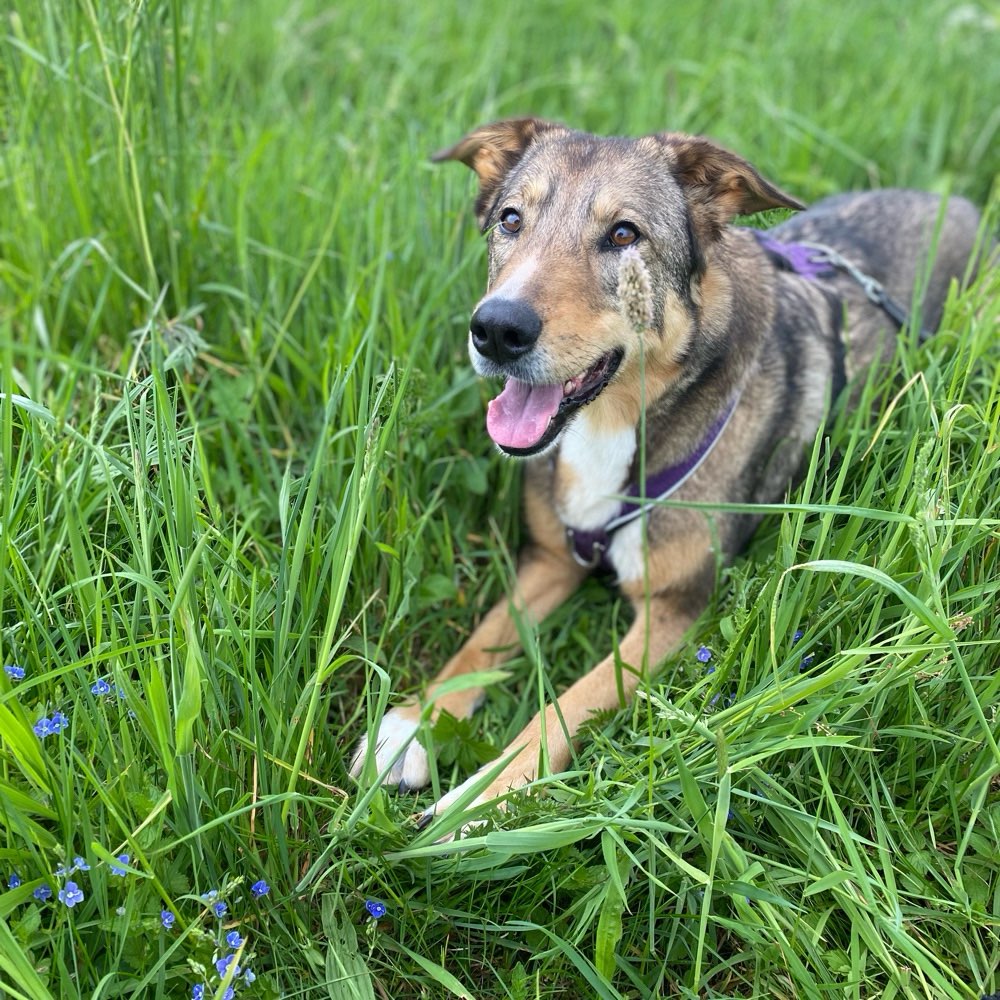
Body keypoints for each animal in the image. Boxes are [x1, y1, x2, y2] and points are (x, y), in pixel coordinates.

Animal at [348, 119, 980, 820]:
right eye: (510, 220)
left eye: (625, 234)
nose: (496, 329)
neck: (611, 427)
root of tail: (962, 204)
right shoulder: (550, 560)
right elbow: (482, 639)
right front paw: (413, 723)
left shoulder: (675, 611)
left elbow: (567, 703)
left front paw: (481, 802)